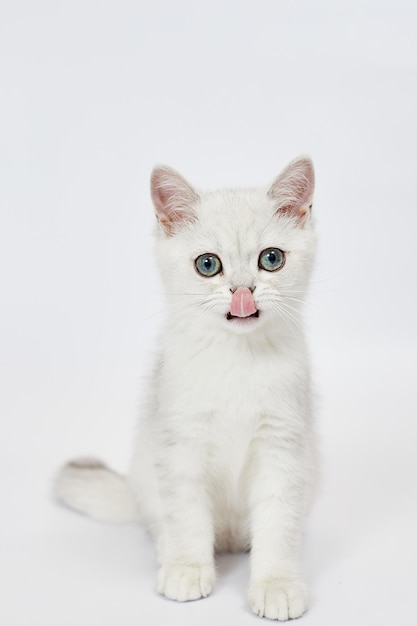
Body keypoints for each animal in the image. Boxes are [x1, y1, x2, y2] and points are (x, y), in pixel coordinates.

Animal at [54, 157, 316, 620]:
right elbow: (186, 517)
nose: (243, 292)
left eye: (271, 259)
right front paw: (188, 570)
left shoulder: (283, 446)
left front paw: (277, 585)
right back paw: (168, 554)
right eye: (208, 265)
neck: (236, 358)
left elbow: (278, 524)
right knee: (163, 523)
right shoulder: (179, 444)